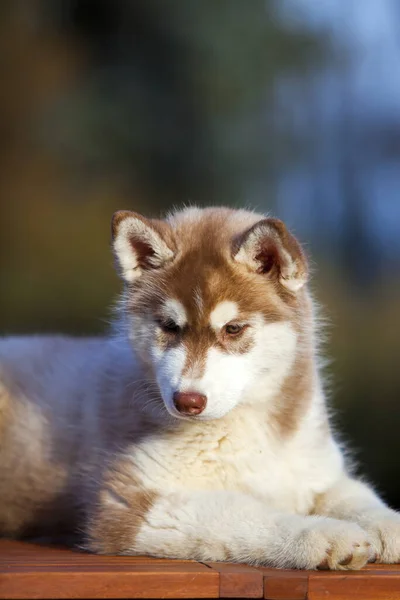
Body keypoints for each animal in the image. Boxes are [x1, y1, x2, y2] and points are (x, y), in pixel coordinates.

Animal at [0, 206, 400, 568]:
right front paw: (321, 534)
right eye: (169, 326)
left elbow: (358, 494)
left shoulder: (317, 472)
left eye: (233, 329)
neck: (250, 429)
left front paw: (387, 524)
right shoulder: (128, 502)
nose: (186, 401)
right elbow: (242, 512)